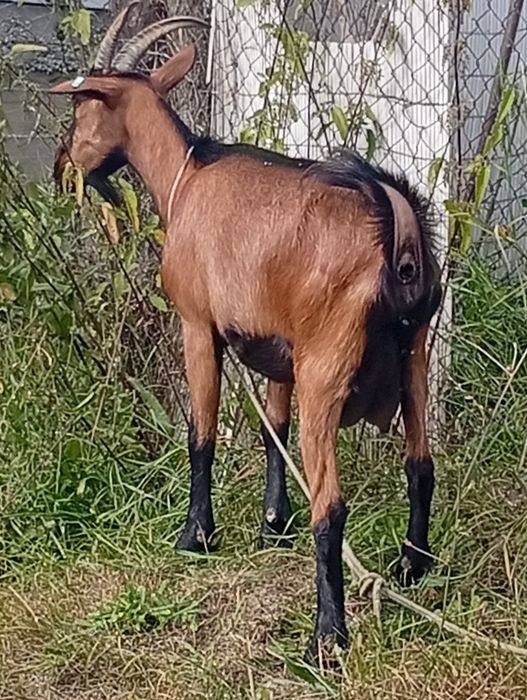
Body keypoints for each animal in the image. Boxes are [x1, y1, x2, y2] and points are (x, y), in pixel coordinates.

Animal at [50, 5, 442, 662]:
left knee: (332, 504)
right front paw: (271, 528)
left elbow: (201, 434)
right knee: (421, 466)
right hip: (413, 358)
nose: (61, 167)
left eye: (82, 109)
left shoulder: (197, 325)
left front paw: (195, 536)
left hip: (327, 366)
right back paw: (412, 569)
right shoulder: (281, 349)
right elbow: (271, 433)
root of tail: (398, 219)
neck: (187, 175)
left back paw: (326, 639)